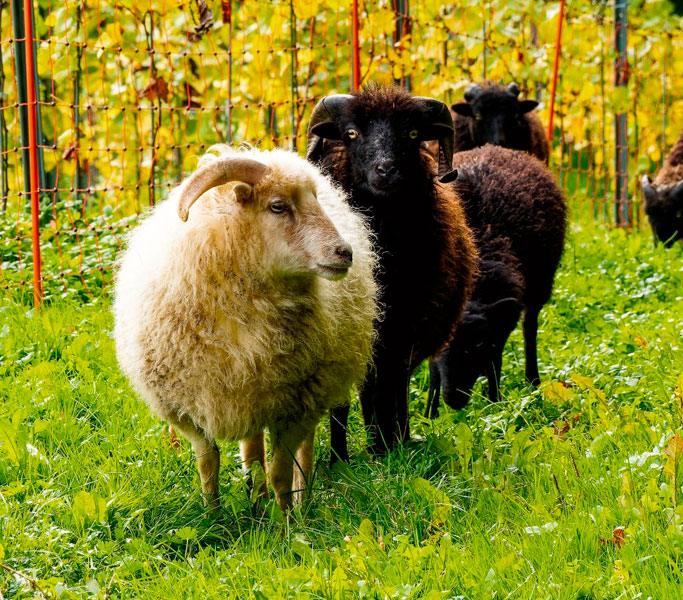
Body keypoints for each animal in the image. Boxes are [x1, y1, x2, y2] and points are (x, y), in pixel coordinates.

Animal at [113, 145, 378, 510]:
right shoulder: (188, 409)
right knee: (252, 450)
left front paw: (288, 521)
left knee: (303, 451)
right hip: (248, 393)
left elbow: (281, 472)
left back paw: (302, 499)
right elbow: (208, 464)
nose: (344, 253)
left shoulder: (297, 405)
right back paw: (257, 505)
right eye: (278, 206)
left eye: (315, 200)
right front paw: (212, 515)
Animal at [307, 84, 478, 459]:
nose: (386, 170)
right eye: (351, 133)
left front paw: (387, 447)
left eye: (412, 134)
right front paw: (344, 459)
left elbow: (387, 386)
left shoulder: (405, 323)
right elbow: (350, 398)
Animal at [426, 145, 567, 416]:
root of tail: (495, 148)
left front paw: (494, 403)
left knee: (530, 330)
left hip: (539, 287)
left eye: (478, 344)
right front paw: (430, 414)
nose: (454, 400)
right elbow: (432, 368)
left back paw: (532, 380)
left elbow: (495, 360)